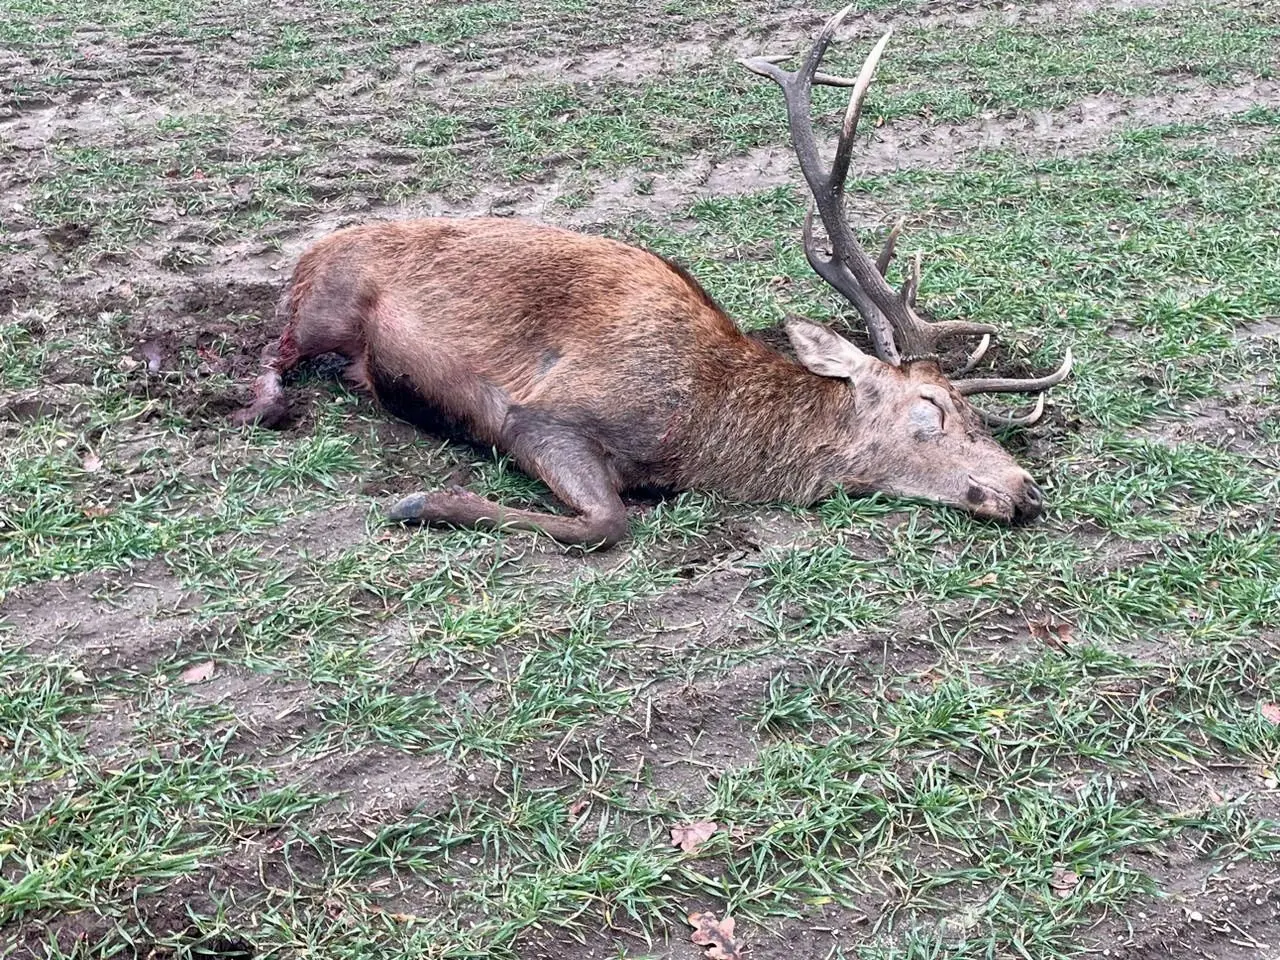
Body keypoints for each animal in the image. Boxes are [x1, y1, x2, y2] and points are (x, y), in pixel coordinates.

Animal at [230, 6, 1072, 549]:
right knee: (273, 345)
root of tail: (310, 250)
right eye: (933, 407)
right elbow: (609, 522)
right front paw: (423, 503)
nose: (1025, 488)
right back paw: (268, 406)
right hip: (330, 302)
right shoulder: (543, 415)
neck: (703, 435)